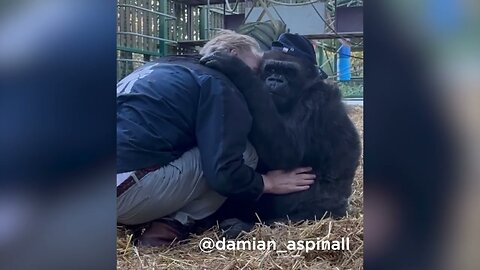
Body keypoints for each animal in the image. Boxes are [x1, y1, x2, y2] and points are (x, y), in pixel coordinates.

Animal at [199, 34, 360, 236]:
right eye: (272, 69)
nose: (275, 80)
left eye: (288, 72)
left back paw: (246, 225)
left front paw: (237, 69)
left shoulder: (315, 101)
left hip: (334, 212)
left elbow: (288, 152)